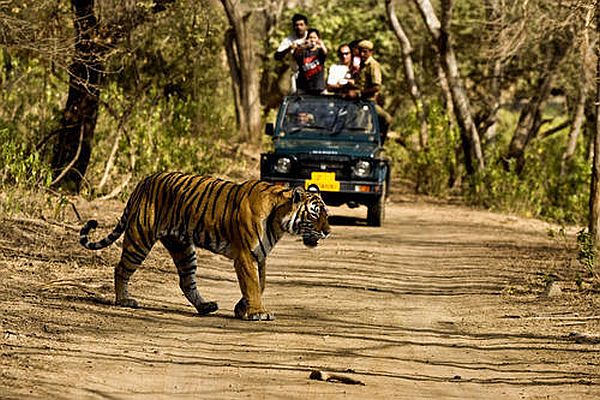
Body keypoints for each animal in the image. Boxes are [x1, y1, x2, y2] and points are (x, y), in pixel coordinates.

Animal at [79, 170, 328, 320]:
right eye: (314, 214)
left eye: (326, 214)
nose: (328, 231)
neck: (278, 220)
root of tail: (145, 180)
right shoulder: (246, 255)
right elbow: (252, 285)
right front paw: (257, 312)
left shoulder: (261, 256)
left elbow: (260, 284)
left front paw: (242, 309)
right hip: (140, 238)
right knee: (121, 268)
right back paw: (124, 300)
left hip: (183, 248)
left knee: (186, 281)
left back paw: (205, 306)